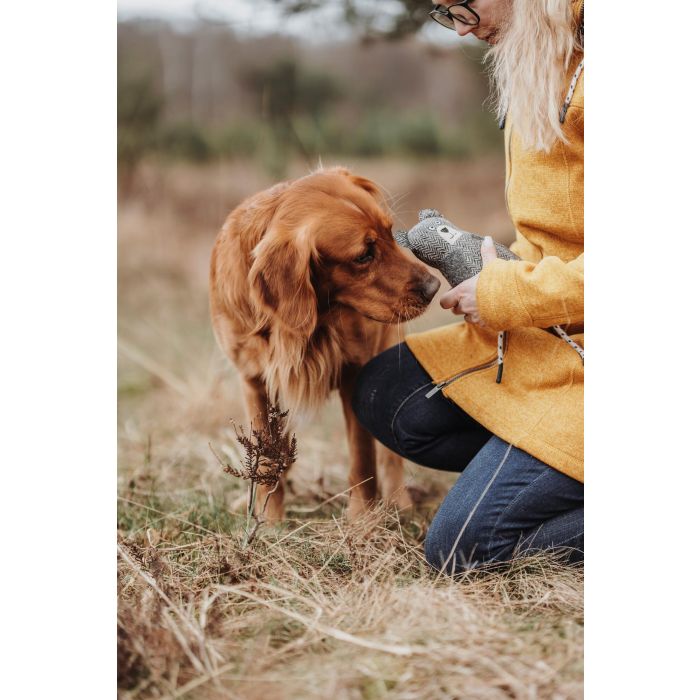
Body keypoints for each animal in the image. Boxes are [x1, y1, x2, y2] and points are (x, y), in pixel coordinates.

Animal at [208, 168, 438, 520]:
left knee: (389, 455)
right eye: (363, 255)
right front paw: (270, 520)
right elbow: (267, 460)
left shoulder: (355, 374)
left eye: (390, 232)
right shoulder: (254, 381)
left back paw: (399, 501)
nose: (433, 287)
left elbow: (363, 460)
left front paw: (362, 521)